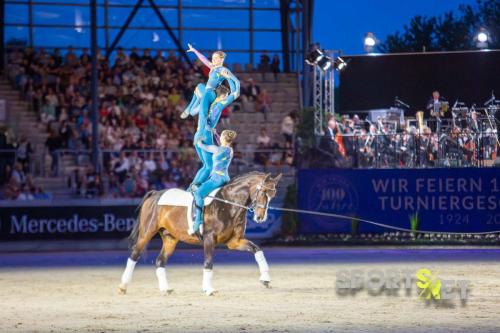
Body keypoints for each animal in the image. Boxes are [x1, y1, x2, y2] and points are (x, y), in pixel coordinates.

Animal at [118, 172, 282, 294]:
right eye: (263, 192)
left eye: (273, 195)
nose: (260, 218)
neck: (228, 204)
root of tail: (155, 194)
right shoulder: (209, 239)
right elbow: (208, 262)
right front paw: (208, 289)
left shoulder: (234, 242)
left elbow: (257, 249)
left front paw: (266, 279)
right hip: (147, 232)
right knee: (134, 255)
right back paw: (123, 286)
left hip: (170, 238)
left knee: (160, 261)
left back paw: (165, 288)